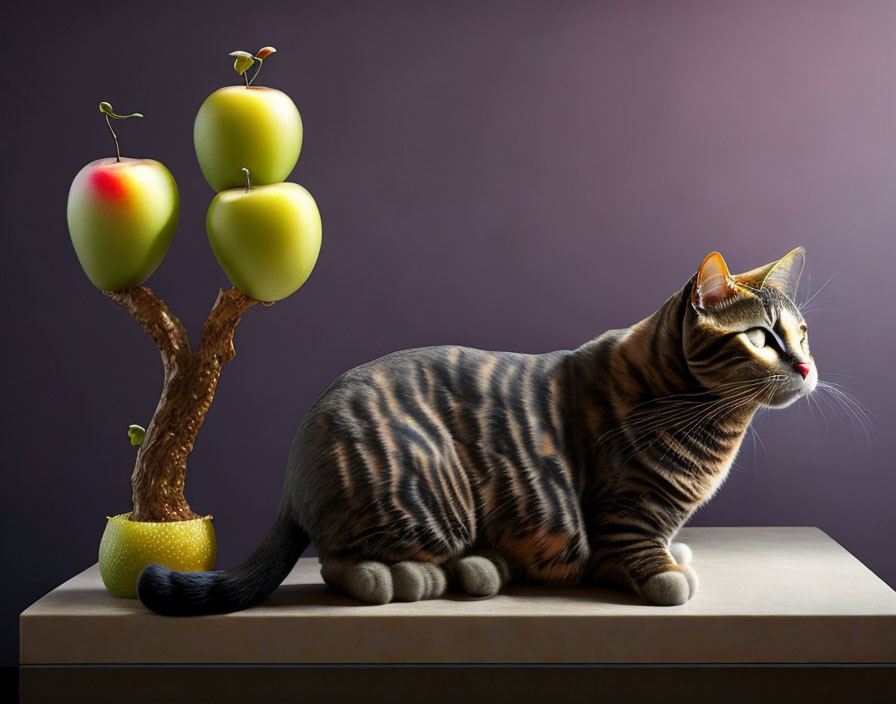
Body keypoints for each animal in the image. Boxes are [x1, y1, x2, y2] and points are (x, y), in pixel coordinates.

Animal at [136, 250, 816, 612]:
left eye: (803, 334)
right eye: (761, 338)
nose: (807, 366)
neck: (716, 420)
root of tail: (294, 469)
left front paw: (677, 552)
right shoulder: (623, 510)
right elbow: (639, 552)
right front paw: (666, 572)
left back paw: (481, 569)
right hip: (429, 488)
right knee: (338, 563)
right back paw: (410, 577)